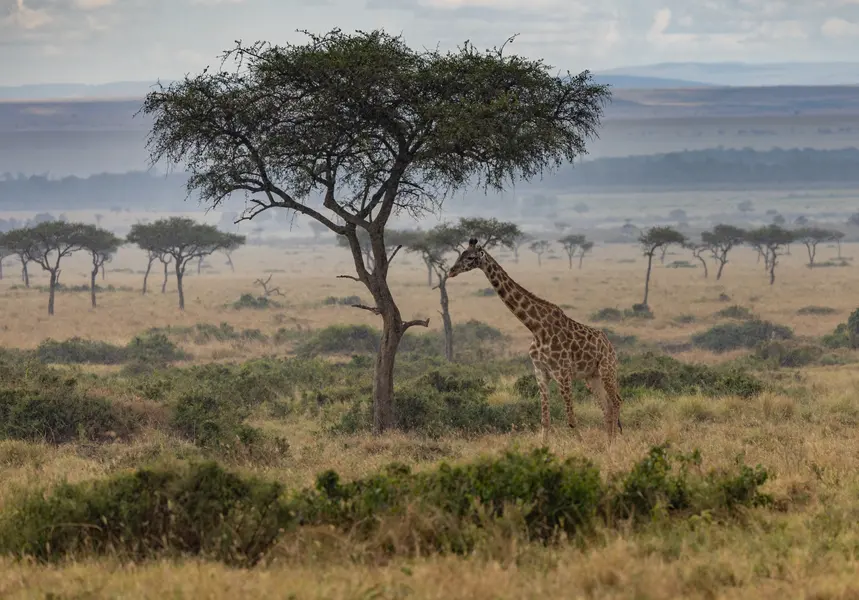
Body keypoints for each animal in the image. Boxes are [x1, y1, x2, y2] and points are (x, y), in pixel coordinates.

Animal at [448, 238, 623, 445]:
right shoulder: (541, 374)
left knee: (616, 402)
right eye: (461, 254)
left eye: (471, 257)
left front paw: (581, 445)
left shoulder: (562, 373)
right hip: (591, 377)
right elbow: (545, 420)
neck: (536, 328)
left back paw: (615, 443)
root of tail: (610, 345)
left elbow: (571, 418)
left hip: (607, 369)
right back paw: (608, 444)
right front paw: (543, 446)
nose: (451, 271)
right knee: (607, 407)